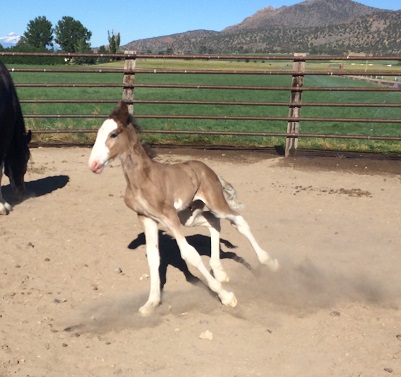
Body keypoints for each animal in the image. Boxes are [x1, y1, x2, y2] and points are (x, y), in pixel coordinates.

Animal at [89, 100, 278, 314]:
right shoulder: (147, 218)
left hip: (213, 203)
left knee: (237, 220)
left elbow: (189, 254)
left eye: (113, 134)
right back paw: (220, 271)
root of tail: (209, 170)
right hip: (189, 216)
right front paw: (151, 303)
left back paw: (269, 262)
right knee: (213, 222)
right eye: (99, 132)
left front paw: (227, 297)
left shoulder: (169, 217)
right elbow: (153, 257)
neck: (142, 180)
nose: (93, 164)